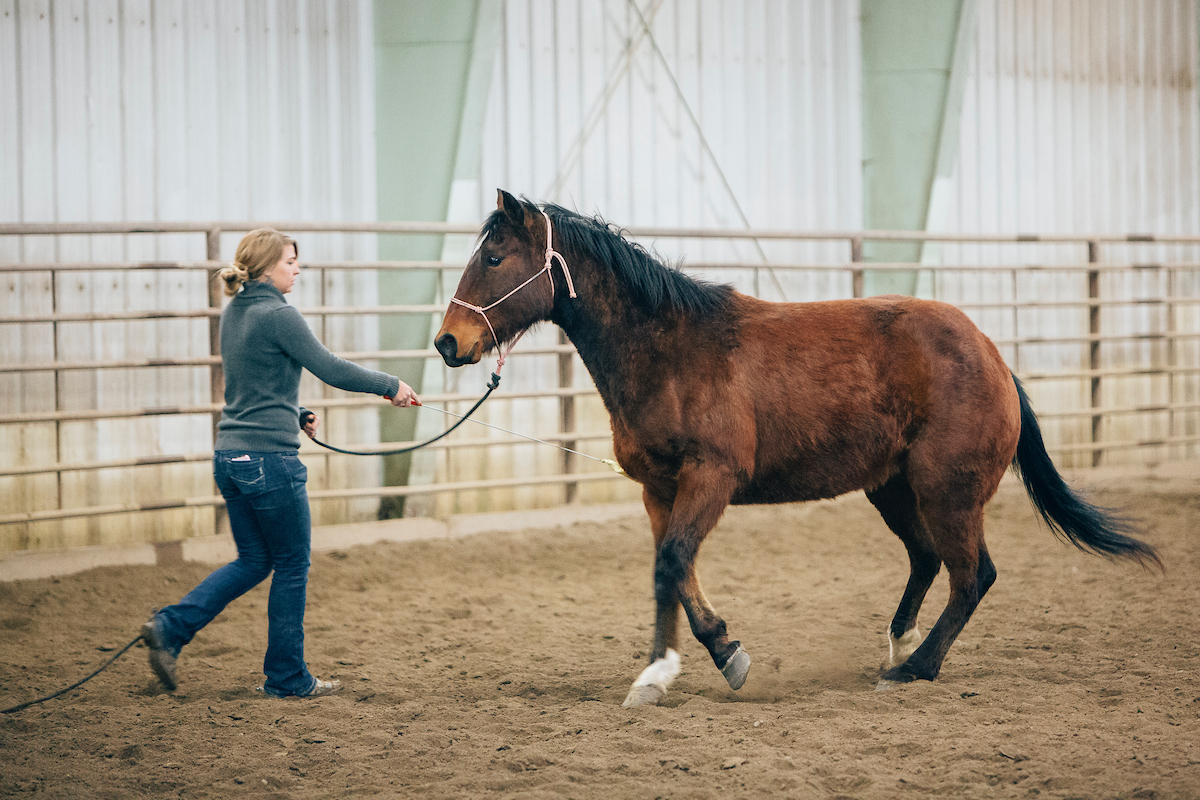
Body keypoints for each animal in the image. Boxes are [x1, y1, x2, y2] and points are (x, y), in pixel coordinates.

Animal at [436, 189, 1156, 705]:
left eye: (494, 259)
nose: (449, 342)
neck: (669, 350)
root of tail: (993, 357)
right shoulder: (659, 490)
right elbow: (671, 573)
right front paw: (673, 667)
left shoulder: (710, 477)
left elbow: (673, 564)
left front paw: (701, 663)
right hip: (892, 488)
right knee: (928, 560)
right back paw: (899, 646)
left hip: (946, 491)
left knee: (971, 575)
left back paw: (915, 669)